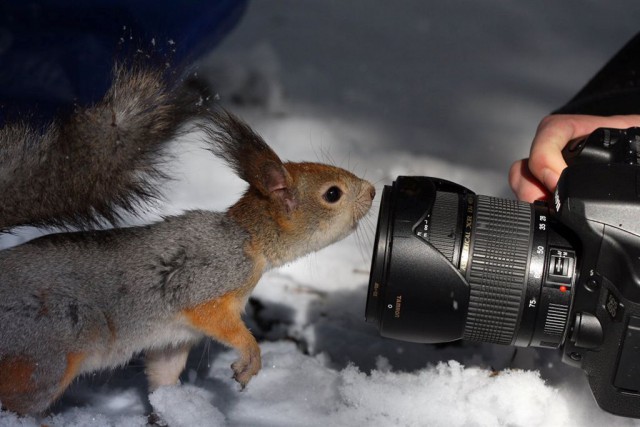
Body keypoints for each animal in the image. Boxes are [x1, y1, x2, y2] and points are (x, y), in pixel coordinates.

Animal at [0, 62, 376, 414]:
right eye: (332, 194)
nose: (373, 191)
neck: (249, 239)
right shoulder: (206, 284)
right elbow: (218, 319)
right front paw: (251, 356)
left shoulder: (175, 338)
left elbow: (163, 373)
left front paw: (173, 406)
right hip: (43, 356)